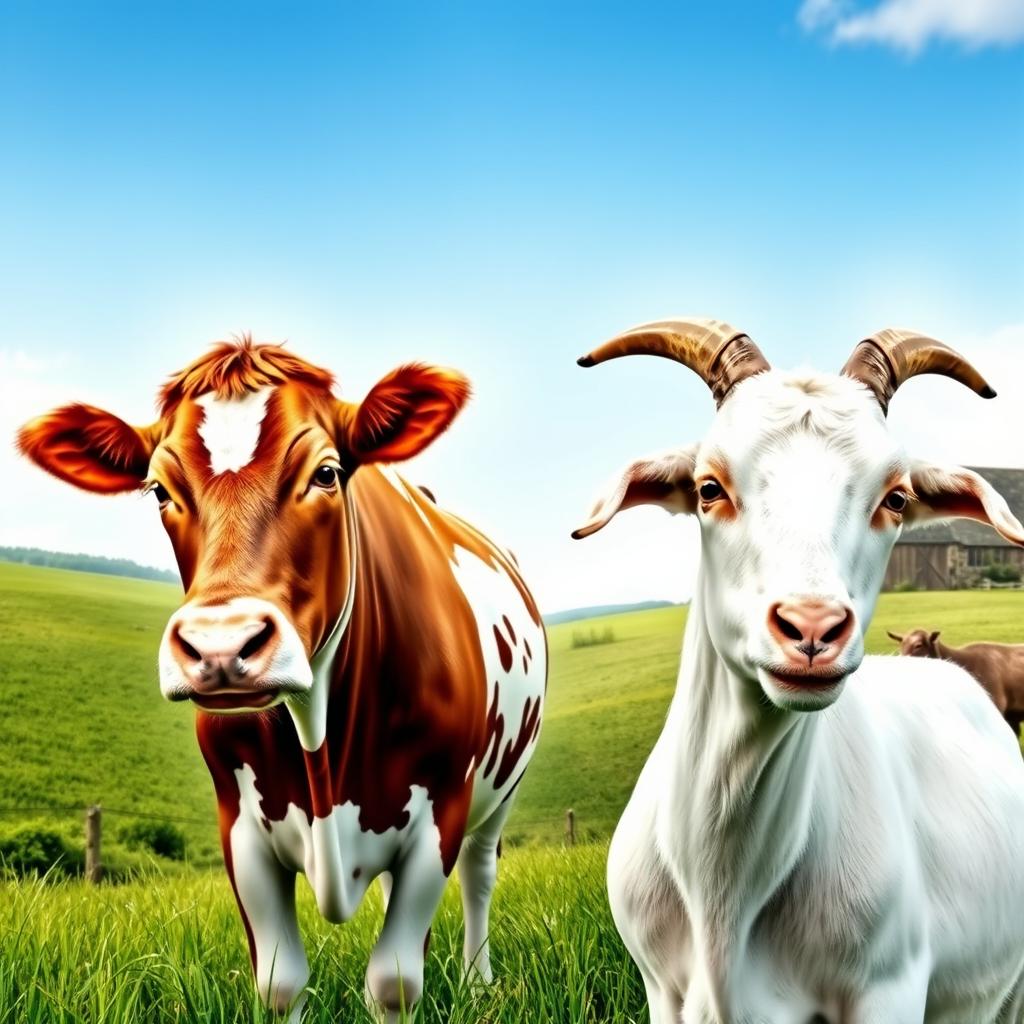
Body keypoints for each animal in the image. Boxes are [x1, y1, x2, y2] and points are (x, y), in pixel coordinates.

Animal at [17, 339, 547, 1022]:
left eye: (326, 473)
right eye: (159, 489)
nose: (220, 645)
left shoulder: (441, 813)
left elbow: (395, 980)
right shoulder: (240, 827)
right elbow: (279, 980)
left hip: (499, 795)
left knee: (481, 875)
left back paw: (478, 983)